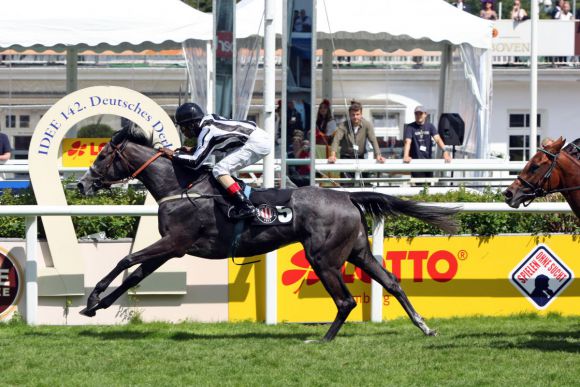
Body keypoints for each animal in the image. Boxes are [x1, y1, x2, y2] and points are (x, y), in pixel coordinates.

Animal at [78, 126, 458, 340]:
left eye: (102, 155)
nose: (82, 183)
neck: (180, 186)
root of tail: (347, 195)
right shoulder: (172, 248)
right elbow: (133, 274)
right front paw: (95, 306)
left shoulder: (174, 241)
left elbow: (125, 259)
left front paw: (93, 296)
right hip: (358, 251)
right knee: (392, 282)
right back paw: (424, 327)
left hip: (323, 258)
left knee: (346, 301)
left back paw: (322, 340)